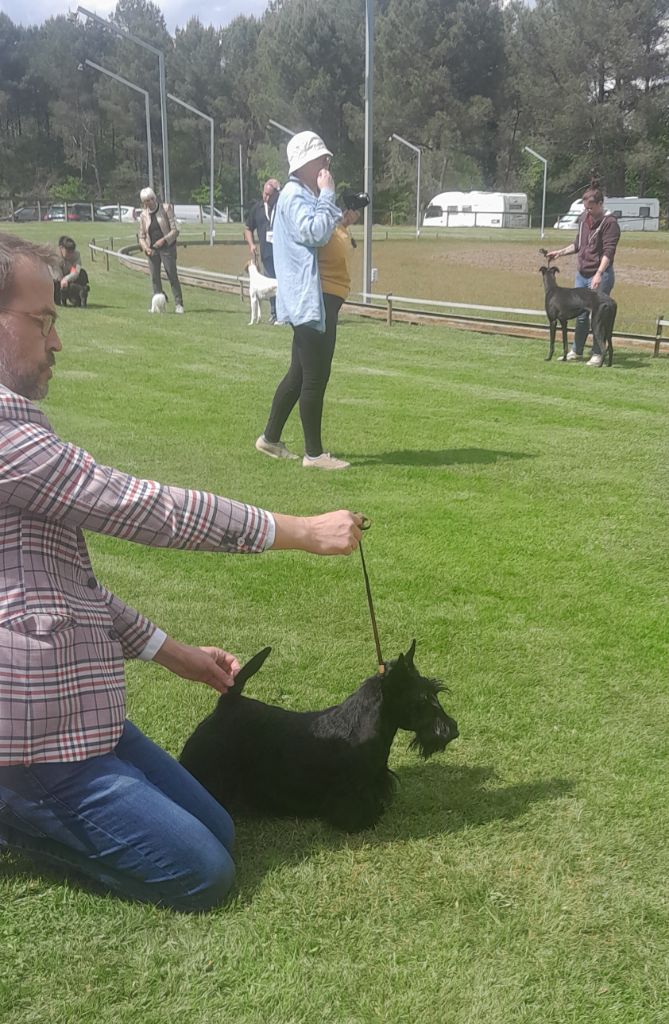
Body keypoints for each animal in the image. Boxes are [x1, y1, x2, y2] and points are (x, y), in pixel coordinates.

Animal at [178, 638, 458, 831]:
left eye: (436, 693)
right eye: (422, 700)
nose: (452, 730)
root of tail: (227, 703)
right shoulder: (351, 790)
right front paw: (364, 820)